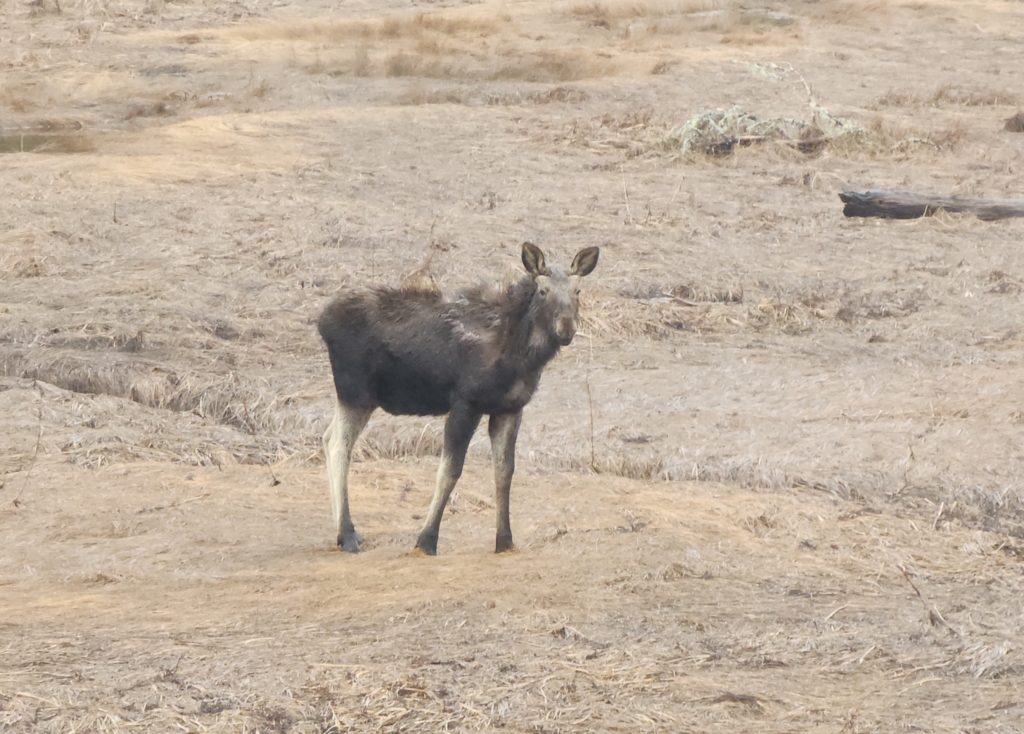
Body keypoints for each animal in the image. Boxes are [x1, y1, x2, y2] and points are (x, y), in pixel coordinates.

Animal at [317, 242, 599, 555]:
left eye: (578, 291)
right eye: (543, 291)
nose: (566, 329)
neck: (521, 357)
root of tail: (321, 322)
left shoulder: (510, 408)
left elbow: (505, 472)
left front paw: (505, 540)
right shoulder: (466, 402)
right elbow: (450, 470)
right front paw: (427, 539)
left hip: (358, 398)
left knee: (327, 437)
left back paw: (344, 531)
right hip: (355, 392)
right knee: (339, 446)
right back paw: (347, 534)